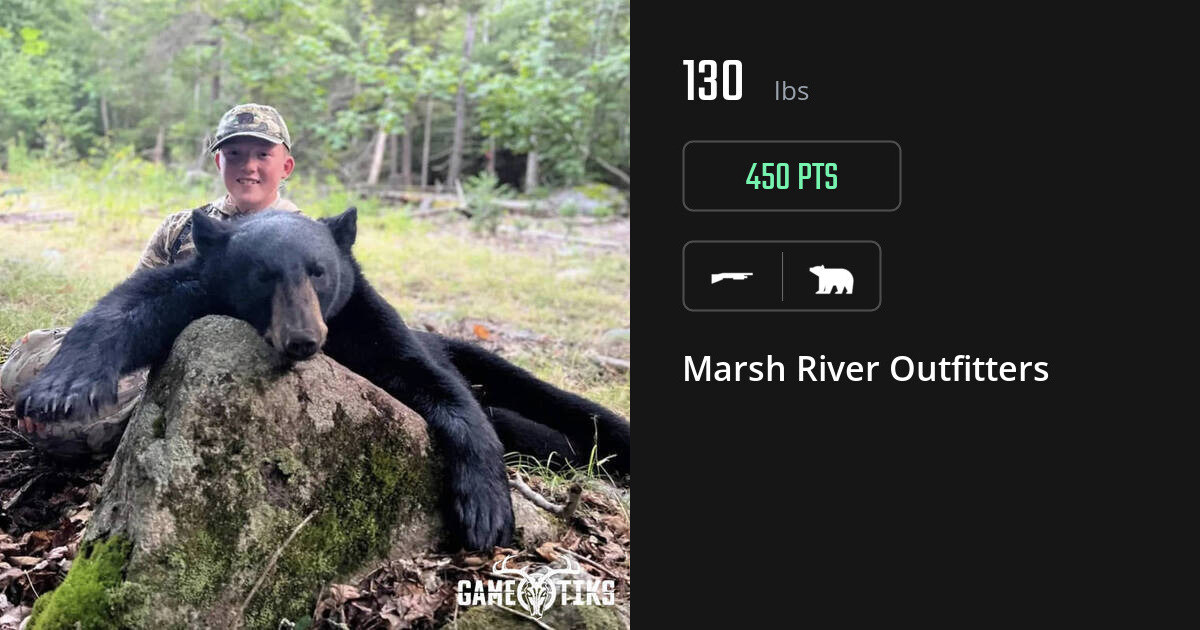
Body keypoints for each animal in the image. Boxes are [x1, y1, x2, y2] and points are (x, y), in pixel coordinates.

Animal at [15, 208, 630, 551]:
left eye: (319, 272)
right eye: (262, 275)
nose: (304, 339)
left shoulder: (366, 321)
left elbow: (435, 384)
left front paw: (484, 511)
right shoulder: (197, 291)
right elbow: (124, 309)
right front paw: (59, 391)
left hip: (482, 356)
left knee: (544, 398)